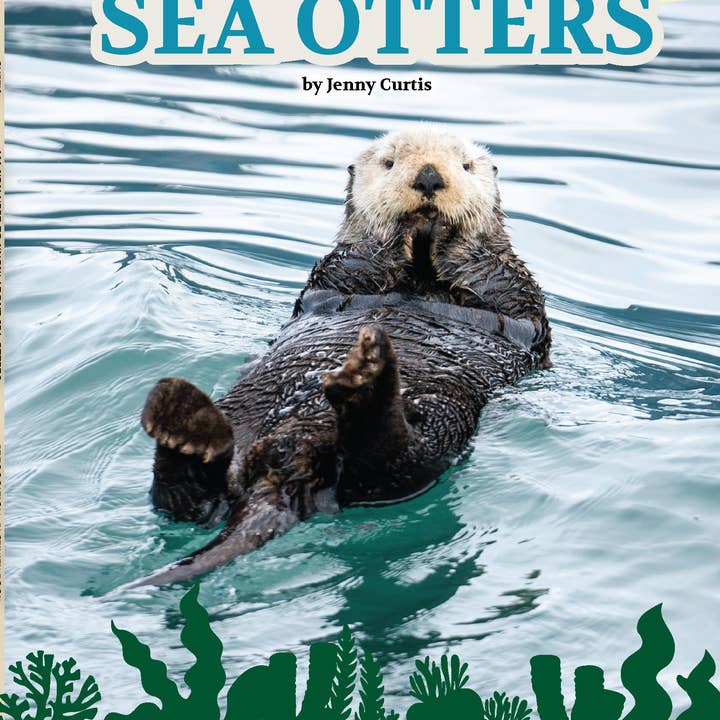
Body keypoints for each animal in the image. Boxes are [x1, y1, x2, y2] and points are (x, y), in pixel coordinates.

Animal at [135, 126, 551, 587]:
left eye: (465, 165)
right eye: (389, 162)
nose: (428, 178)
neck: (421, 273)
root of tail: (289, 461)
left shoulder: (517, 298)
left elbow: (495, 283)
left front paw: (449, 234)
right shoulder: (333, 279)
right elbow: (356, 263)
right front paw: (400, 233)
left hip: (438, 426)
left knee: (388, 462)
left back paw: (362, 381)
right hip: (243, 416)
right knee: (187, 501)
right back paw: (184, 422)